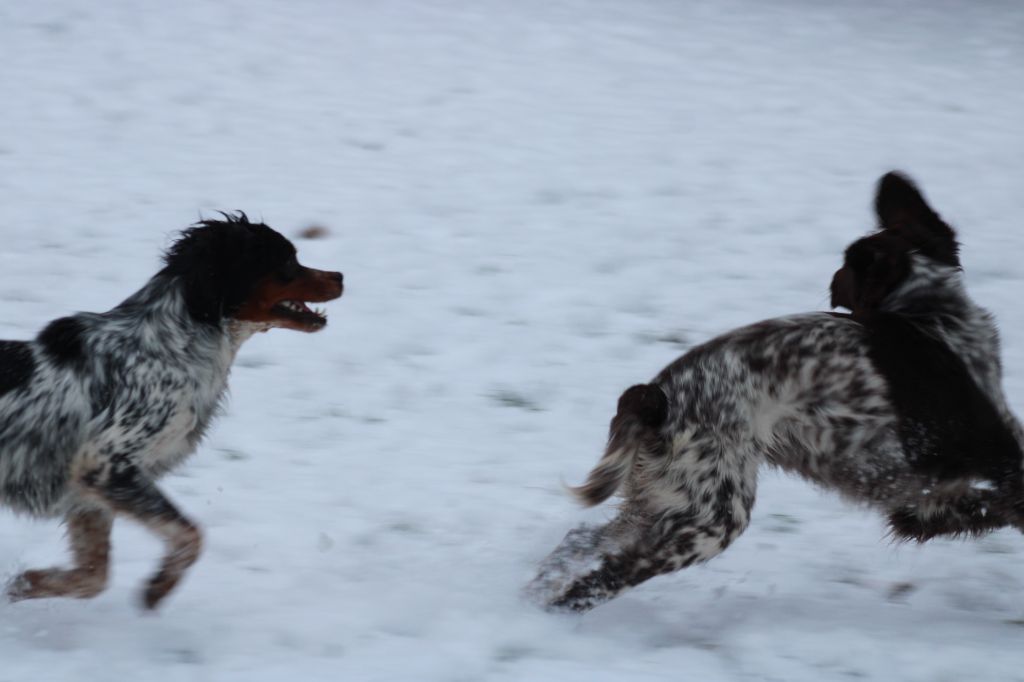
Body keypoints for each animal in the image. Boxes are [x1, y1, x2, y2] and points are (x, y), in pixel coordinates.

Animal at [0, 212, 346, 606]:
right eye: (288, 260)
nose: (340, 276)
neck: (174, 346)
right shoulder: (105, 467)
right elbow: (191, 534)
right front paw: (160, 586)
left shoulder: (89, 492)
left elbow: (92, 576)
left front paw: (25, 584)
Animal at [528, 173, 1024, 606]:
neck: (934, 317)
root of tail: (656, 396)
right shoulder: (966, 474)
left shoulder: (919, 502)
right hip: (711, 519)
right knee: (600, 579)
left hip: (663, 505)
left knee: (579, 543)